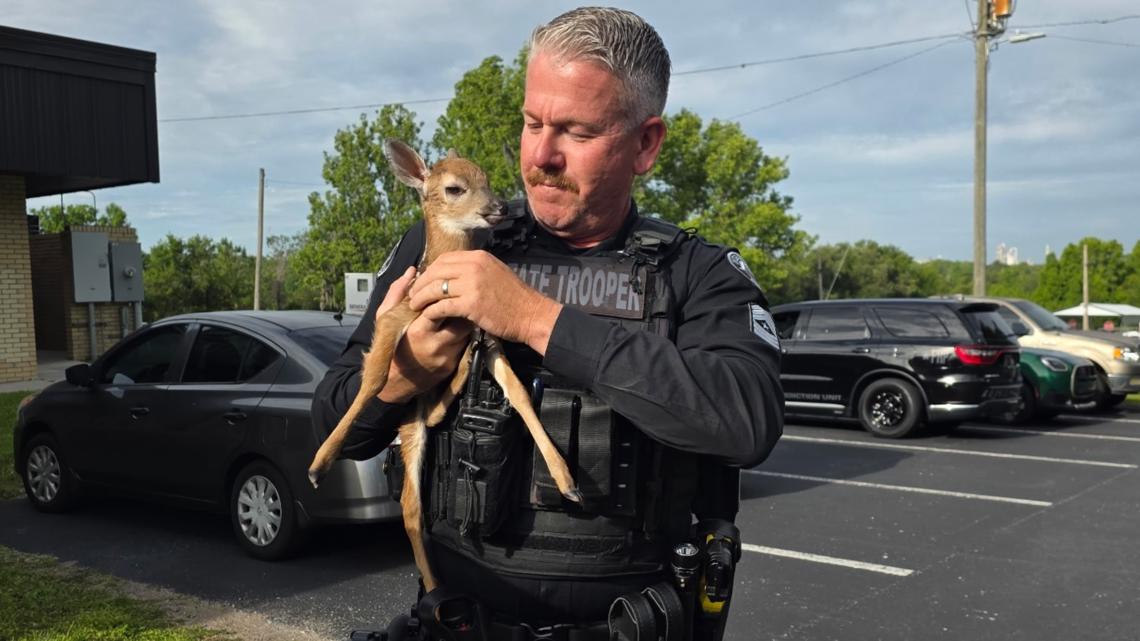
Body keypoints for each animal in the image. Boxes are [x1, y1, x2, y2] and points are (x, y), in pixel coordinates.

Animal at [307, 140, 581, 592]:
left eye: (486, 178)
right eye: (454, 188)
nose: (499, 206)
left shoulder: (487, 335)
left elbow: (520, 394)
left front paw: (567, 480)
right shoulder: (394, 315)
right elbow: (375, 377)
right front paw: (319, 463)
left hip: (421, 418)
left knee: (429, 444)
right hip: (409, 425)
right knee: (410, 508)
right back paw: (435, 590)